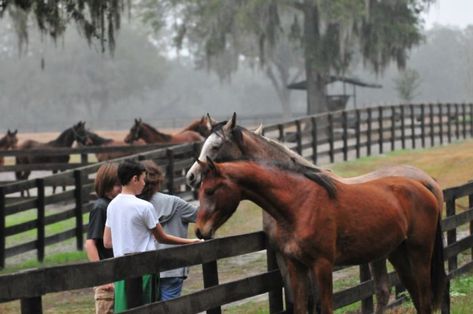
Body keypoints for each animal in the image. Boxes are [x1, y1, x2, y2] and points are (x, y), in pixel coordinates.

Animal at [186, 113, 444, 314]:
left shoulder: (320, 264)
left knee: (417, 295)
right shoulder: (290, 261)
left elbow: (320, 305)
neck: (297, 202)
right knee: (399, 293)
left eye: (215, 146)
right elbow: (299, 304)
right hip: (395, 252)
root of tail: (426, 183)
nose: (190, 177)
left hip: (418, 253)